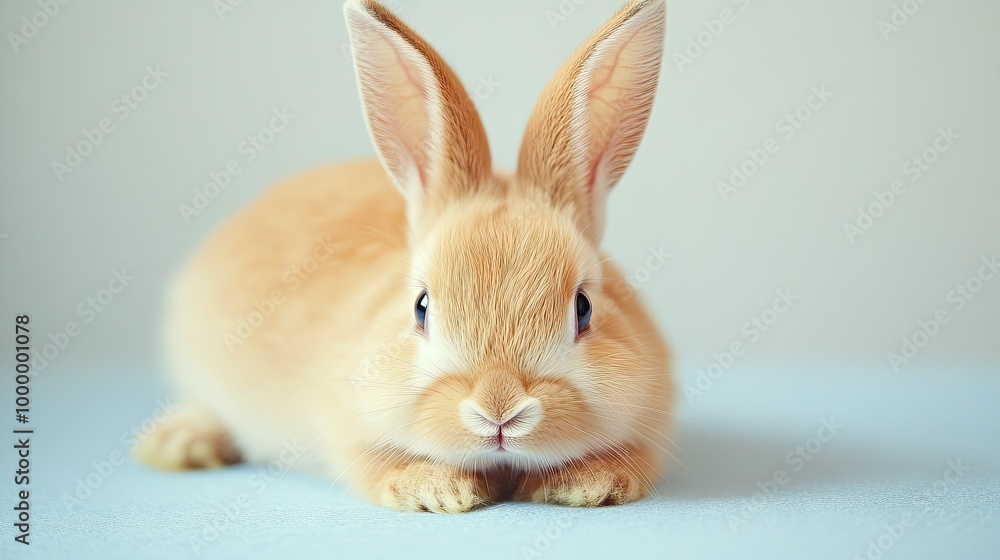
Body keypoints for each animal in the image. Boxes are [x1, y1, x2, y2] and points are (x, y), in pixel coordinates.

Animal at [135, 0, 674, 513]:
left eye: (584, 308)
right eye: (421, 307)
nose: (498, 409)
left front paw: (586, 484)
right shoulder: (347, 429)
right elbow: (378, 467)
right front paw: (438, 490)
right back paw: (179, 444)